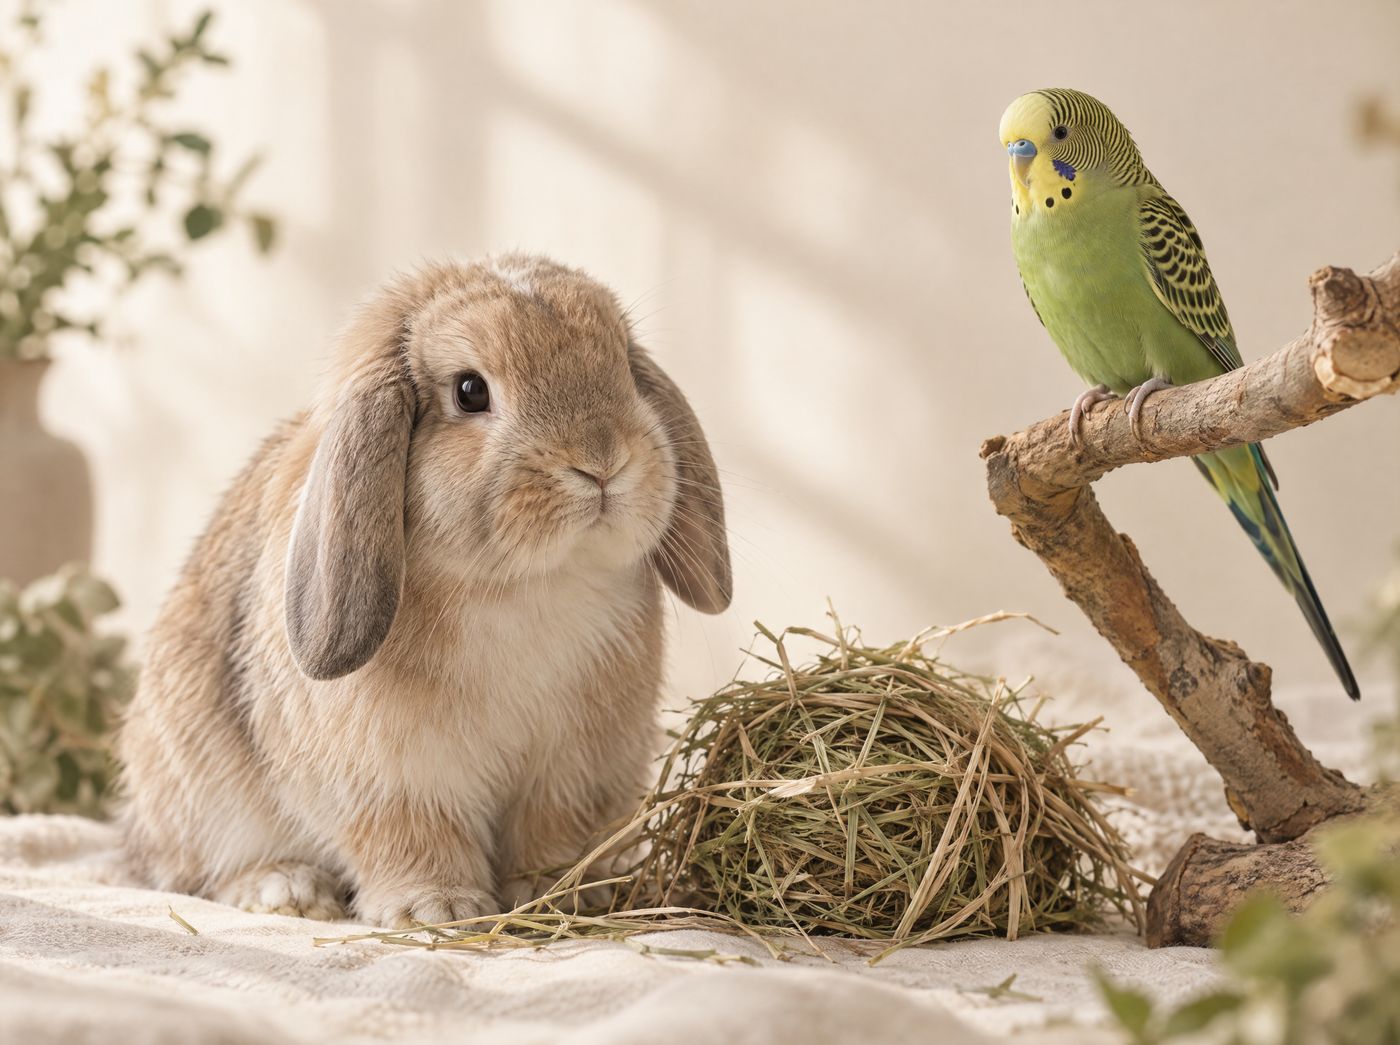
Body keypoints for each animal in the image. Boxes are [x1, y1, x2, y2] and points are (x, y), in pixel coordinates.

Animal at [116, 255, 732, 927]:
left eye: (622, 363)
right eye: (470, 391)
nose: (601, 461)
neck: (524, 584)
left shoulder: (572, 772)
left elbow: (553, 839)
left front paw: (562, 896)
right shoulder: (395, 779)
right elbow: (412, 835)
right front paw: (437, 908)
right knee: (201, 873)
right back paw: (289, 892)